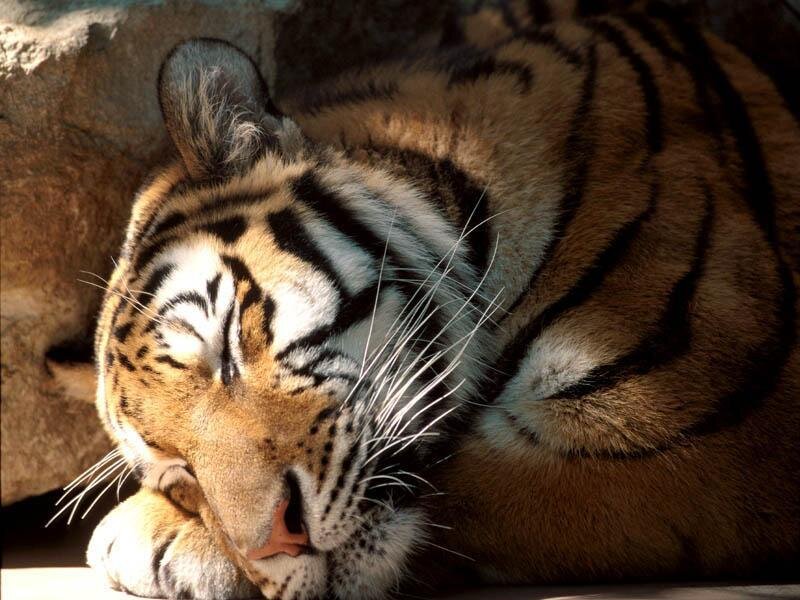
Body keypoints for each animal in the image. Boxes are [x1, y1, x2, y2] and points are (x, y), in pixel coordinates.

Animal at [72, 0, 799, 598]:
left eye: (225, 351)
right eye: (176, 472)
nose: (278, 539)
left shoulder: (687, 427)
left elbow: (472, 478)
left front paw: (140, 532)